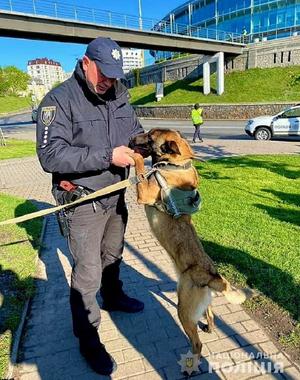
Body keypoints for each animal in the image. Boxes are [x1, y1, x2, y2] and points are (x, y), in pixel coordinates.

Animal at [129, 129, 246, 358]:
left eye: (149, 136)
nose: (131, 139)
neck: (177, 164)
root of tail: (212, 275)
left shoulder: (144, 194)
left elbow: (139, 166)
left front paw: (134, 156)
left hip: (183, 309)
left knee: (197, 343)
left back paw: (191, 361)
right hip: (199, 302)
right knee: (210, 314)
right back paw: (209, 328)